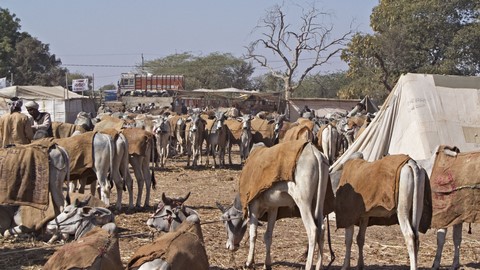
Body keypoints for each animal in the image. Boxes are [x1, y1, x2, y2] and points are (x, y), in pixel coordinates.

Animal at [217, 140, 330, 268]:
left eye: (225, 221)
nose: (229, 246)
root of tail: (314, 152)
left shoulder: (253, 206)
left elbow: (253, 234)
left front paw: (249, 262)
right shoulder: (273, 208)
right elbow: (268, 236)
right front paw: (267, 263)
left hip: (303, 203)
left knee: (313, 231)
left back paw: (308, 265)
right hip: (318, 203)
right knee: (321, 229)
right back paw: (319, 265)